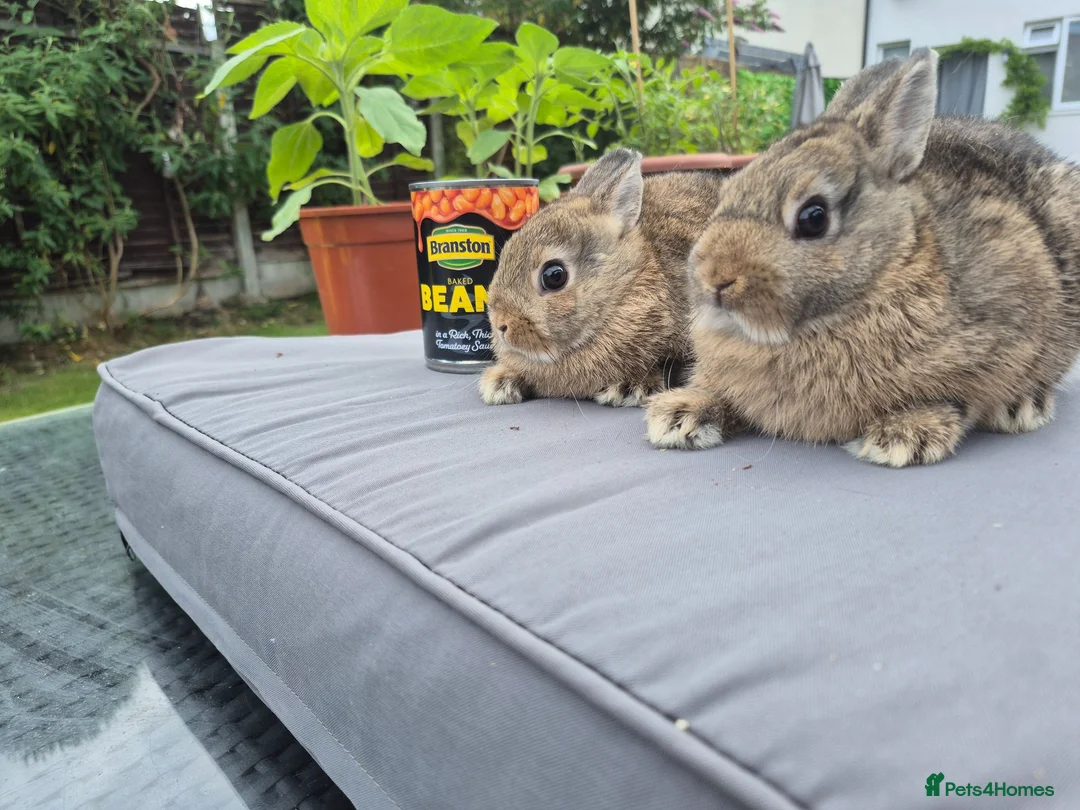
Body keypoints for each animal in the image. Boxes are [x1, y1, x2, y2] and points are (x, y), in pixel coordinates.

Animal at [646, 48, 1080, 467]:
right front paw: (680, 414)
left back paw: (1024, 407)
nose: (714, 279)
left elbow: (960, 396)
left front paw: (902, 436)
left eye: (814, 217)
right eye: (728, 192)